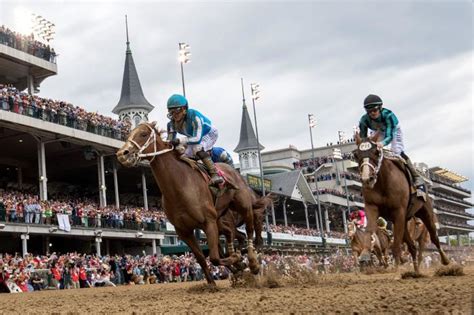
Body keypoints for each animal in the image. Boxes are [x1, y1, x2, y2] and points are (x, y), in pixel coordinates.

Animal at [115, 123, 262, 286]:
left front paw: (238, 260)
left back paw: (252, 261)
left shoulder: (208, 222)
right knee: (236, 235)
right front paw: (213, 283)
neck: (179, 186)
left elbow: (214, 258)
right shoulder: (183, 231)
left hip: (243, 206)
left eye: (143, 134)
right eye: (130, 133)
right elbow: (202, 258)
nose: (122, 153)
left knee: (249, 230)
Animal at [354, 133, 450, 274]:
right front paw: (366, 255)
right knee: (412, 247)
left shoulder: (399, 212)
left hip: (425, 214)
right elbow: (370, 230)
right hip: (404, 221)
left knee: (433, 238)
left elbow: (396, 245)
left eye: (376, 152)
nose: (367, 179)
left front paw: (396, 269)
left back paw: (445, 260)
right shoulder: (372, 207)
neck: (383, 183)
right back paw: (416, 271)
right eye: (356, 154)